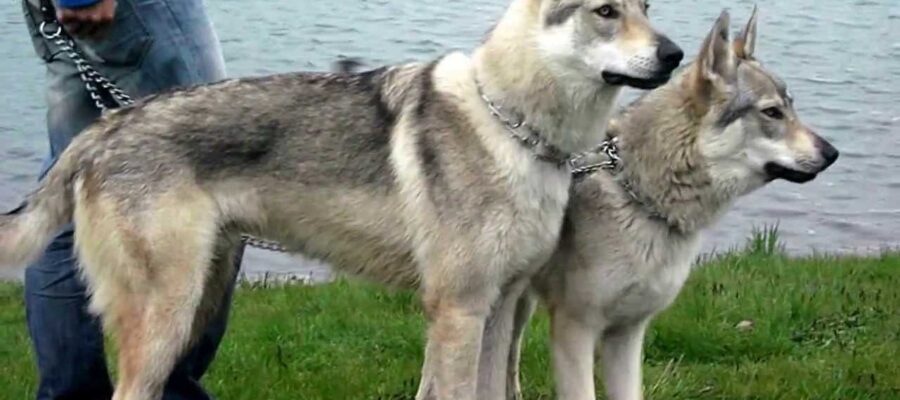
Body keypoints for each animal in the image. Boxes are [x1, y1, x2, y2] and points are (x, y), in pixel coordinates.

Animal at [0, 1, 681, 399]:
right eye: (607, 10)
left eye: (648, 7)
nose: (676, 53)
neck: (514, 125)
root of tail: (106, 127)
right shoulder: (459, 310)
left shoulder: (502, 305)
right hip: (169, 312)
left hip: (201, 295)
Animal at [500, 8, 840, 400]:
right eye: (771, 113)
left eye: (791, 108)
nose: (833, 153)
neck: (638, 196)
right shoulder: (575, 329)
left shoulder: (628, 334)